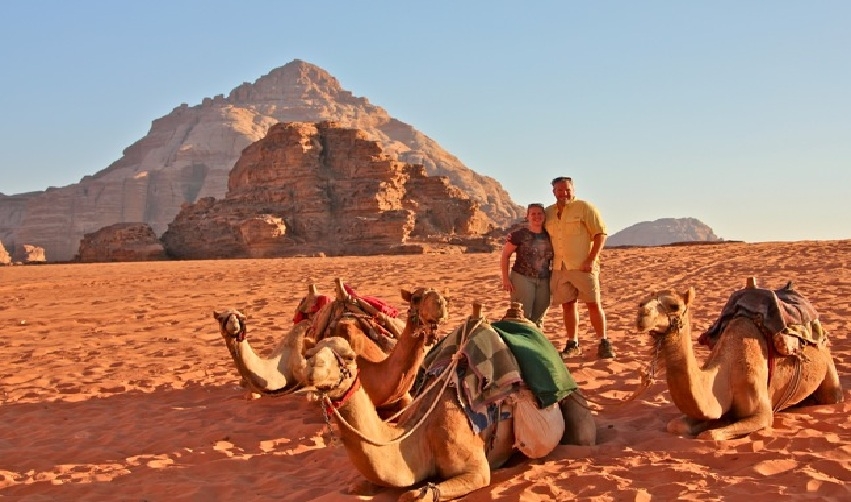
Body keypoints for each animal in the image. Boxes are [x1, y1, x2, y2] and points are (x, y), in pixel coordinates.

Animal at [302, 304, 596, 500]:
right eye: (311, 353)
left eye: (349, 357)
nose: (312, 373)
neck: (419, 434)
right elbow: (357, 487)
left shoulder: (476, 470)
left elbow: (412, 495)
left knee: (583, 433)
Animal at [636, 278, 844, 440]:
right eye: (643, 301)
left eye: (675, 306)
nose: (641, 315)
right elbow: (677, 425)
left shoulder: (762, 414)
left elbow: (710, 435)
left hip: (829, 373)